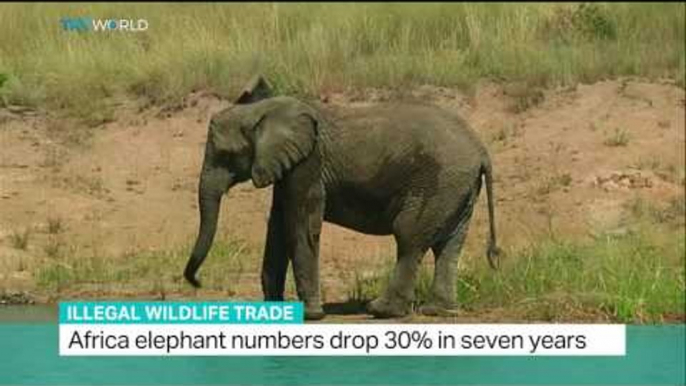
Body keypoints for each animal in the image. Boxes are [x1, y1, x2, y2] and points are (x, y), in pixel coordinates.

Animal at [185, 75, 502, 320]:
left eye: (226, 155)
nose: (197, 282)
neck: (266, 110)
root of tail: (481, 150)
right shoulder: (287, 167)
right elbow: (277, 227)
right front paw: (274, 311)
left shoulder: (309, 163)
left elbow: (300, 226)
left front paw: (311, 315)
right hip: (458, 187)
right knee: (449, 245)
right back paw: (438, 311)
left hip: (439, 181)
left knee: (409, 237)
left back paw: (381, 310)